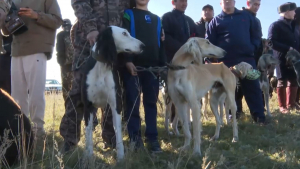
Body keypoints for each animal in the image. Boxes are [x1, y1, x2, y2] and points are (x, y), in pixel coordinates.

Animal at [81, 25, 144, 160]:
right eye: (124, 33)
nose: (143, 46)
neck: (101, 66)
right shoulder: (88, 106)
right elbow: (88, 132)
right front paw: (88, 156)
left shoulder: (116, 104)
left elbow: (118, 130)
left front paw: (121, 157)